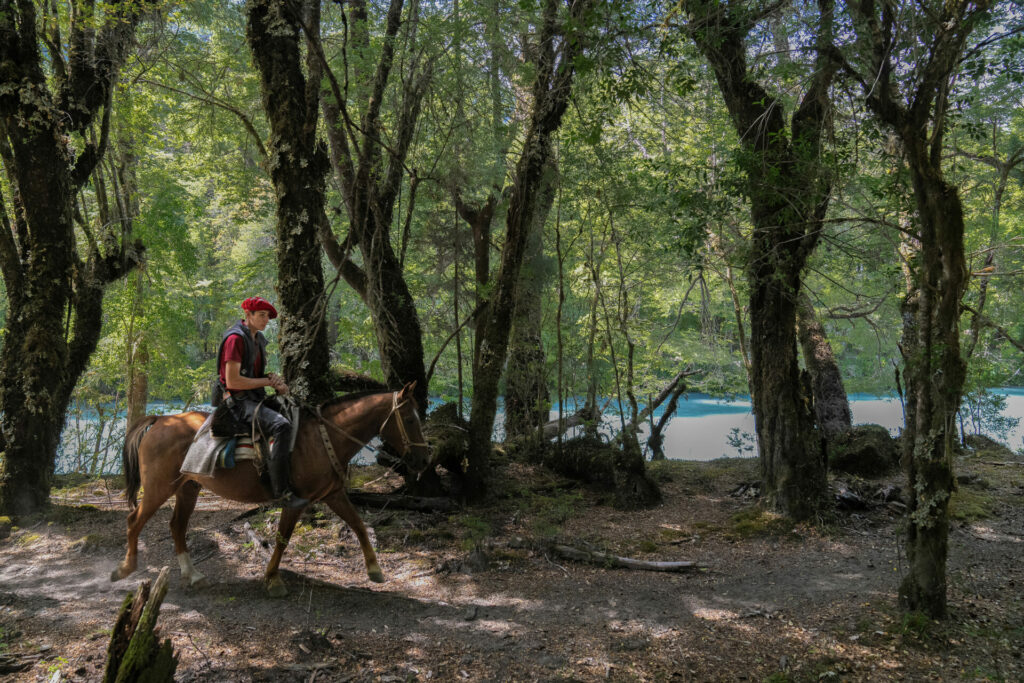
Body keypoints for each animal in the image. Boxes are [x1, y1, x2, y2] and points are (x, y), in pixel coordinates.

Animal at [112, 382, 432, 593]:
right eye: (409, 418)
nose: (424, 459)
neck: (323, 437)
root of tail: (158, 420)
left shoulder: (332, 494)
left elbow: (358, 525)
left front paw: (375, 570)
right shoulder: (296, 500)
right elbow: (282, 539)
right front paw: (273, 578)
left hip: (188, 487)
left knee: (177, 526)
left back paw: (192, 575)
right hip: (159, 487)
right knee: (133, 520)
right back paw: (125, 568)